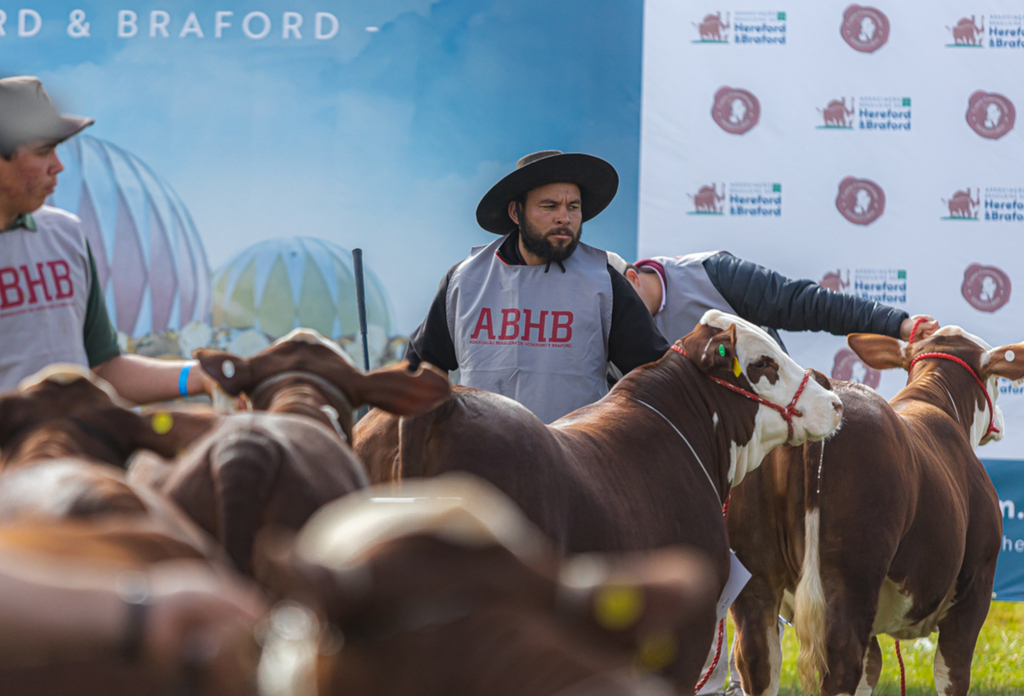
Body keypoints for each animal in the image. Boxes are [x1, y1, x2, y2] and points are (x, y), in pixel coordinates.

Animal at [729, 325, 1015, 696]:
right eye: (995, 377)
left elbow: (872, 667)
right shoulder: (974, 589)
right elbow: (952, 673)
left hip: (756, 573)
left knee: (757, 657)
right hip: (851, 570)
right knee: (840, 659)